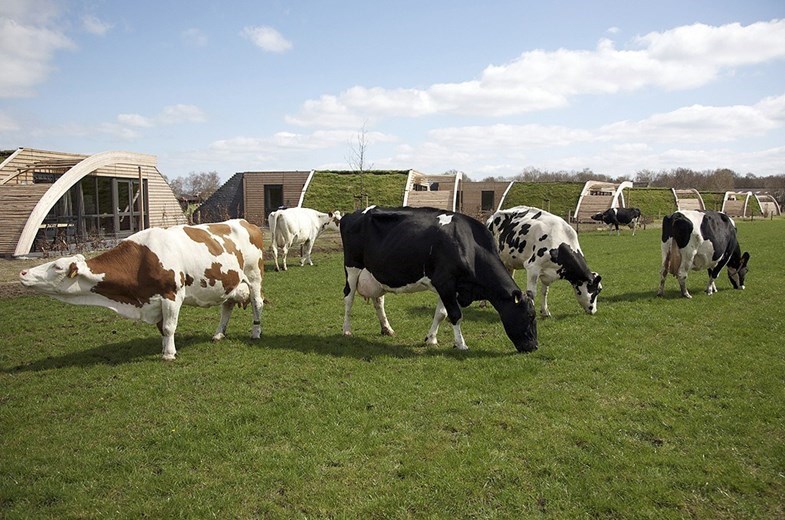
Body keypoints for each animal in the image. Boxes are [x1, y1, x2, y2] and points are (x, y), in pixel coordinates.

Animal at [19, 219, 265, 360]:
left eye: (56, 267)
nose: (22, 273)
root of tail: (246, 221)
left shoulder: (172, 294)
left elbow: (168, 327)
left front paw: (168, 354)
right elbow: (162, 328)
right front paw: (165, 348)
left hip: (254, 276)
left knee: (257, 303)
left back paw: (256, 332)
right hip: (231, 283)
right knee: (227, 305)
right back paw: (218, 334)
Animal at [340, 206, 538, 353]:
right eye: (529, 316)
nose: (534, 347)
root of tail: (351, 214)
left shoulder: (449, 286)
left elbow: (441, 314)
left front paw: (431, 339)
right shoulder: (445, 282)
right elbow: (455, 314)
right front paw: (461, 344)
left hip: (376, 274)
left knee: (378, 300)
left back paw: (387, 329)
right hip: (352, 267)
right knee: (348, 298)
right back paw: (346, 330)